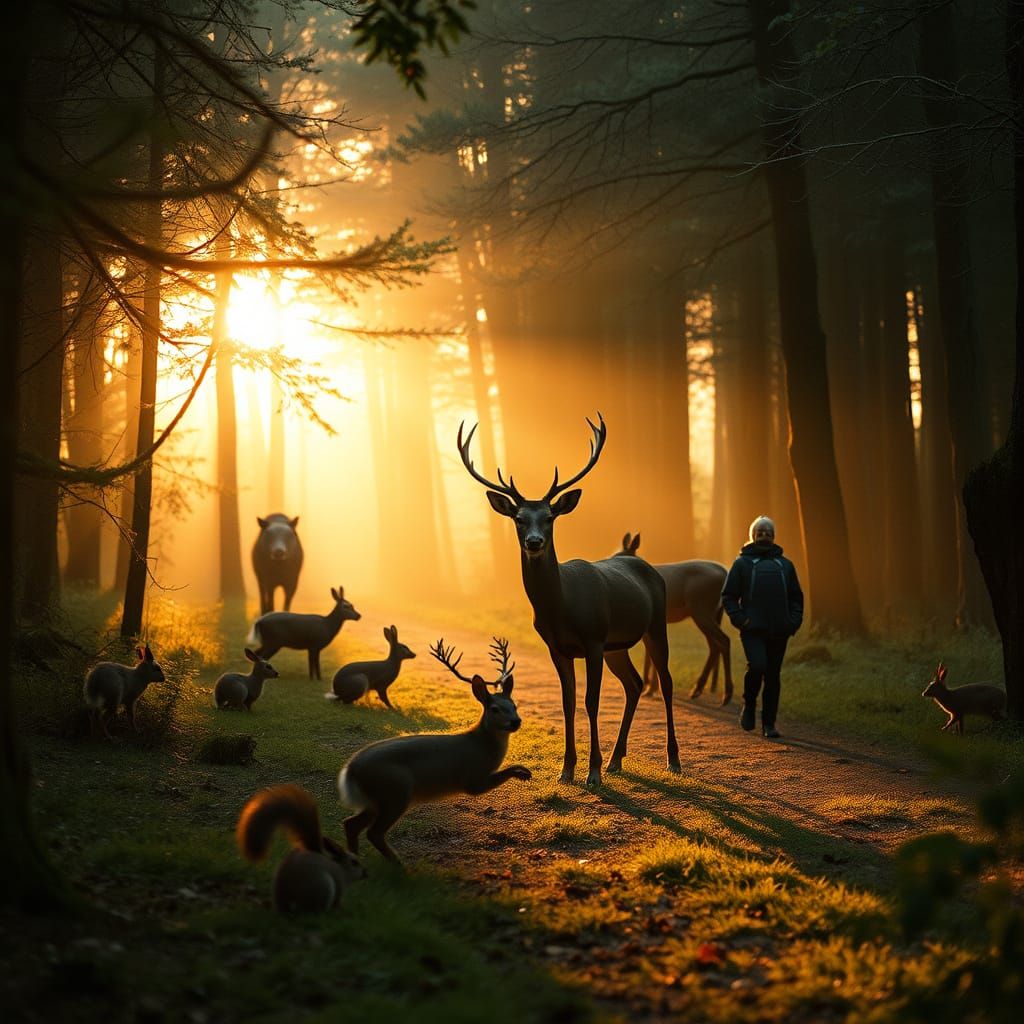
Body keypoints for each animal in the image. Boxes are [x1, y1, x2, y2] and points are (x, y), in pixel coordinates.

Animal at [338, 636, 530, 865]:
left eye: (514, 705)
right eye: (495, 709)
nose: (516, 721)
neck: (481, 745)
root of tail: (351, 770)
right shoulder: (472, 780)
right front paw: (523, 772)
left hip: (376, 800)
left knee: (351, 823)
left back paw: (356, 860)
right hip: (395, 792)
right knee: (373, 832)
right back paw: (401, 864)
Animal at [458, 413, 680, 786]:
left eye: (549, 517)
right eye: (519, 519)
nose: (534, 541)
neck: (560, 608)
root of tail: (647, 566)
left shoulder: (593, 639)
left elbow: (591, 701)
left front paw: (592, 772)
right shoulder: (558, 646)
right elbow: (568, 702)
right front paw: (567, 770)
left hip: (654, 626)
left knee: (665, 683)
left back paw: (672, 760)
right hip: (617, 646)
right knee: (634, 684)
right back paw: (617, 760)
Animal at [615, 532, 732, 704]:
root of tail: (725, 573)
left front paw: (649, 688)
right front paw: (651, 687)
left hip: (701, 609)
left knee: (723, 640)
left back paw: (726, 694)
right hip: (712, 612)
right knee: (714, 645)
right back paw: (698, 689)